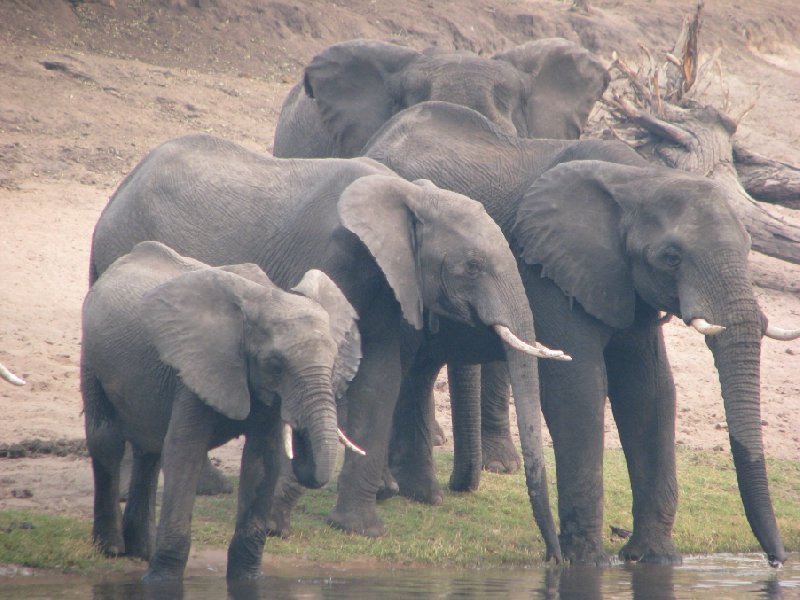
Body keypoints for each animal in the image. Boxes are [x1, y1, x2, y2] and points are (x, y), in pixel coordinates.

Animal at [81, 241, 362, 580]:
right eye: (275, 364)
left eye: (333, 362)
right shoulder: (197, 367)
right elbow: (184, 451)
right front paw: (161, 581)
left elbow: (262, 460)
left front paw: (248, 579)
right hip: (92, 356)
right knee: (107, 440)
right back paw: (111, 548)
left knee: (149, 451)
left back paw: (141, 551)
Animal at [360, 102, 792, 568]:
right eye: (671, 257)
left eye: (749, 247)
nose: (776, 561)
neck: (639, 179)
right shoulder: (548, 269)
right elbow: (578, 389)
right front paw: (587, 563)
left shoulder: (622, 283)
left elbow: (649, 391)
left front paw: (653, 560)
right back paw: (388, 492)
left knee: (417, 370)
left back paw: (421, 495)